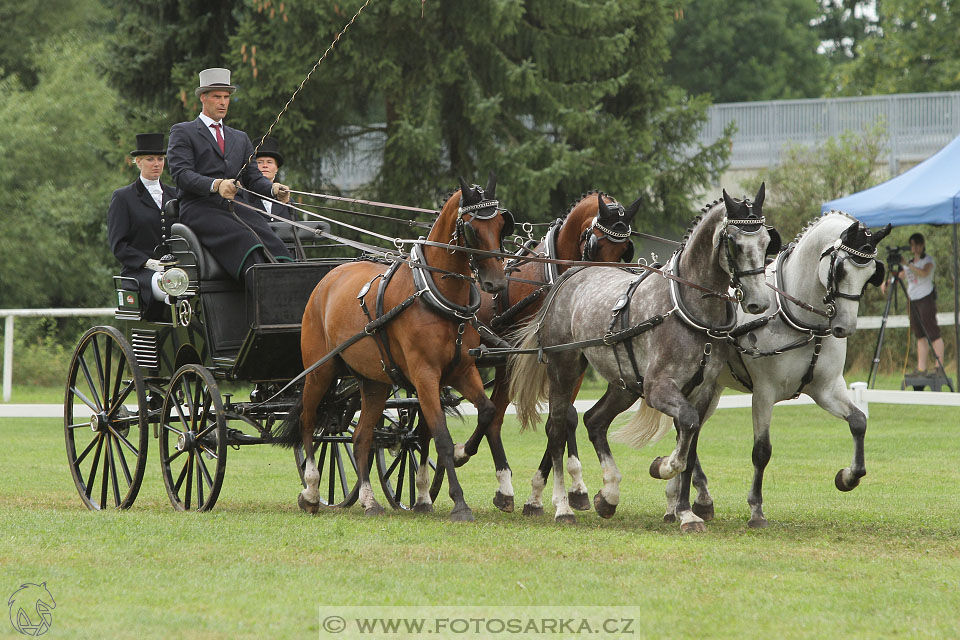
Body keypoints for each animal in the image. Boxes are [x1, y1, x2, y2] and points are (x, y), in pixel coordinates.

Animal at [278, 174, 512, 520]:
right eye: (472, 229)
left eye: (500, 225)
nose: (496, 283)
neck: (434, 293)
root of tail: (328, 279)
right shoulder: (424, 375)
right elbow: (441, 436)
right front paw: (459, 502)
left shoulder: (461, 370)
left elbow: (487, 412)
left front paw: (462, 459)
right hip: (320, 371)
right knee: (310, 423)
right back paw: (311, 491)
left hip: (374, 383)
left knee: (361, 438)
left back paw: (369, 500)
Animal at [454, 192, 640, 512]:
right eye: (594, 244)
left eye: (624, 249)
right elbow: (560, 418)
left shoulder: (572, 363)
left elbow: (564, 418)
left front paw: (553, 492)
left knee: (494, 416)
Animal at [668, 212, 892, 528]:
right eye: (839, 269)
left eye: (872, 273)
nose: (844, 328)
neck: (800, 319)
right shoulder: (764, 392)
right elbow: (762, 451)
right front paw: (756, 510)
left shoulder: (827, 390)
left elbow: (859, 421)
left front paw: (847, 478)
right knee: (685, 431)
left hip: (712, 388)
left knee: (686, 432)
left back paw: (695, 498)